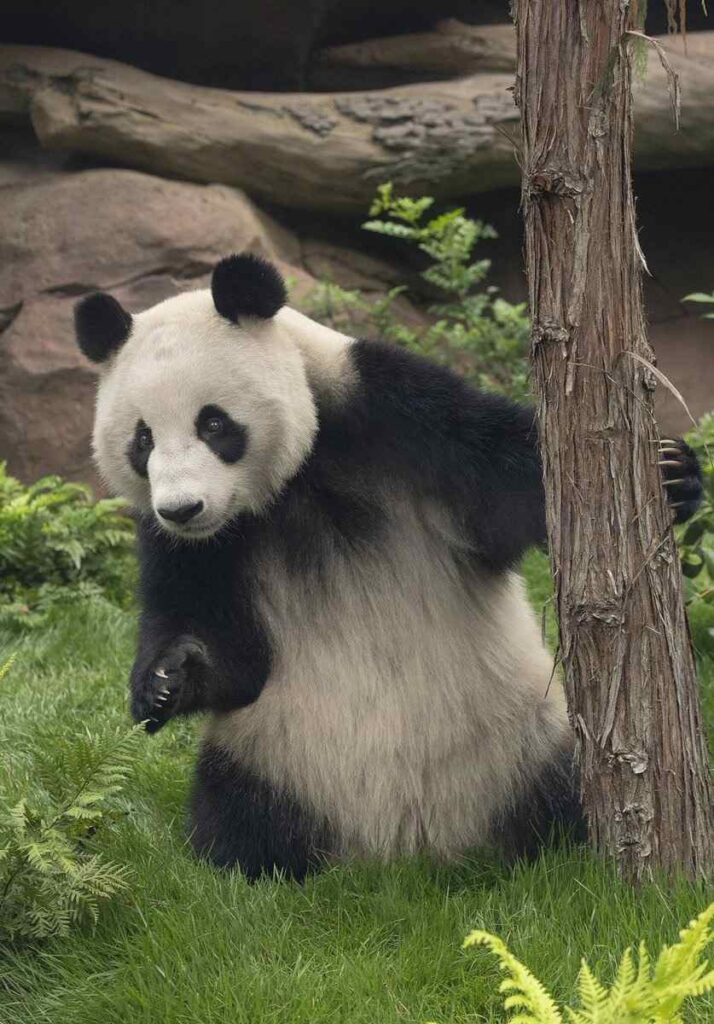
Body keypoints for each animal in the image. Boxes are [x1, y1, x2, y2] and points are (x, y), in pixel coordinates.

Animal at [73, 253, 700, 880]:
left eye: (213, 424)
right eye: (142, 440)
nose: (183, 509)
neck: (293, 482)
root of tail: (400, 854)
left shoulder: (392, 411)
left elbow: (521, 482)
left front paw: (673, 473)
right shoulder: (191, 546)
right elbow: (224, 646)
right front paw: (165, 681)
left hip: (524, 739)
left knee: (562, 792)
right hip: (271, 757)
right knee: (231, 813)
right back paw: (254, 863)